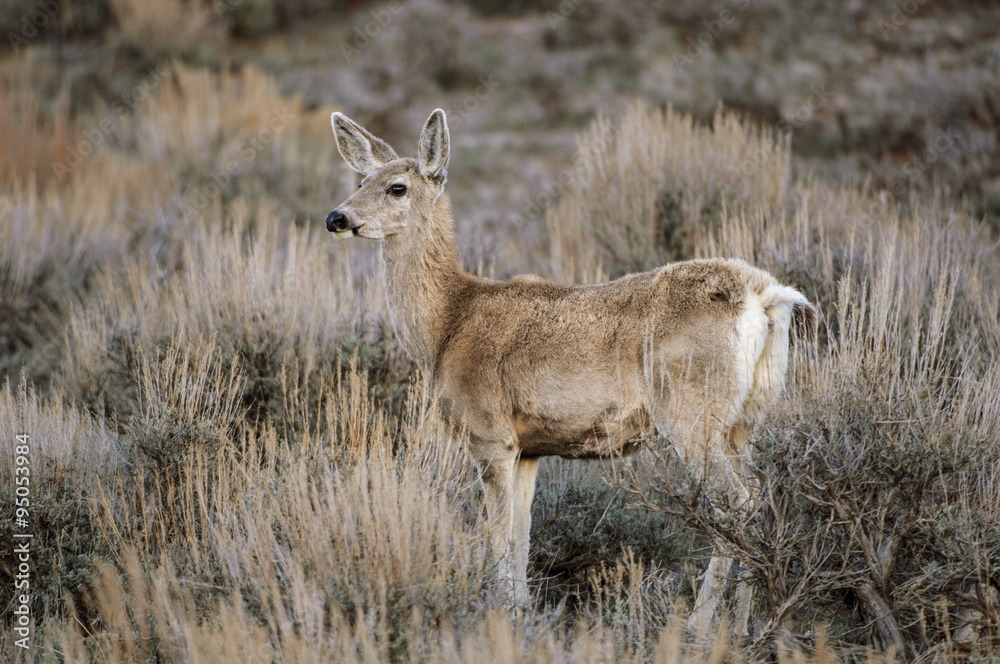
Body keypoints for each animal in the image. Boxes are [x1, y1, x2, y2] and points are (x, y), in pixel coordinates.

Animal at [325, 108, 815, 640]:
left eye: (397, 187)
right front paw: (521, 612)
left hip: (692, 411)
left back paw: (699, 625)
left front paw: (500, 615)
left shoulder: (488, 434)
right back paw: (746, 625)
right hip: (747, 418)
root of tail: (765, 296)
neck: (447, 325)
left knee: (737, 504)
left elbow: (498, 538)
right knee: (761, 500)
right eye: (360, 180)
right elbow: (520, 538)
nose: (337, 218)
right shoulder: (527, 449)